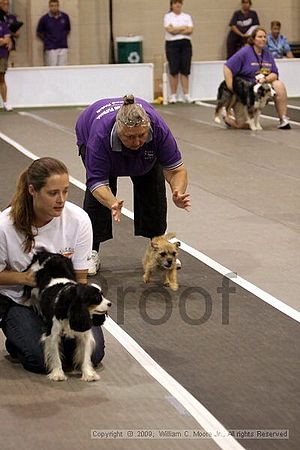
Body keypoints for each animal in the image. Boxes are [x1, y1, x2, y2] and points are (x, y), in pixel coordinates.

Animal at [24, 251, 111, 382]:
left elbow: (86, 356)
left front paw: (88, 374)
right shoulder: (53, 334)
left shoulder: (85, 334)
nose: (110, 304)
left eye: (103, 295)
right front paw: (58, 374)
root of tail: (47, 254)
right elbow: (56, 356)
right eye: (97, 299)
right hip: (32, 278)